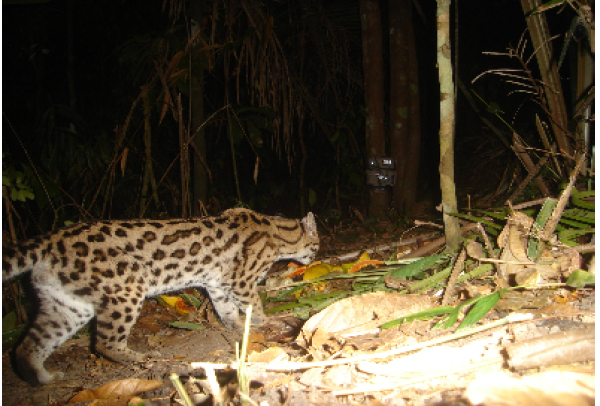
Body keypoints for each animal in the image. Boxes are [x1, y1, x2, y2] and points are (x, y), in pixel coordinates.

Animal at [3, 208, 318, 386]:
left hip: (67, 306)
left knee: (28, 345)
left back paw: (42, 377)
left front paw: (239, 326)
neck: (276, 231)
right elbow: (254, 306)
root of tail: (52, 239)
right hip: (126, 290)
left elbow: (227, 311)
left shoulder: (218, 284)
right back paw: (142, 359)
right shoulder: (240, 281)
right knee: (104, 343)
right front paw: (266, 323)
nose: (316, 255)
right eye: (316, 244)